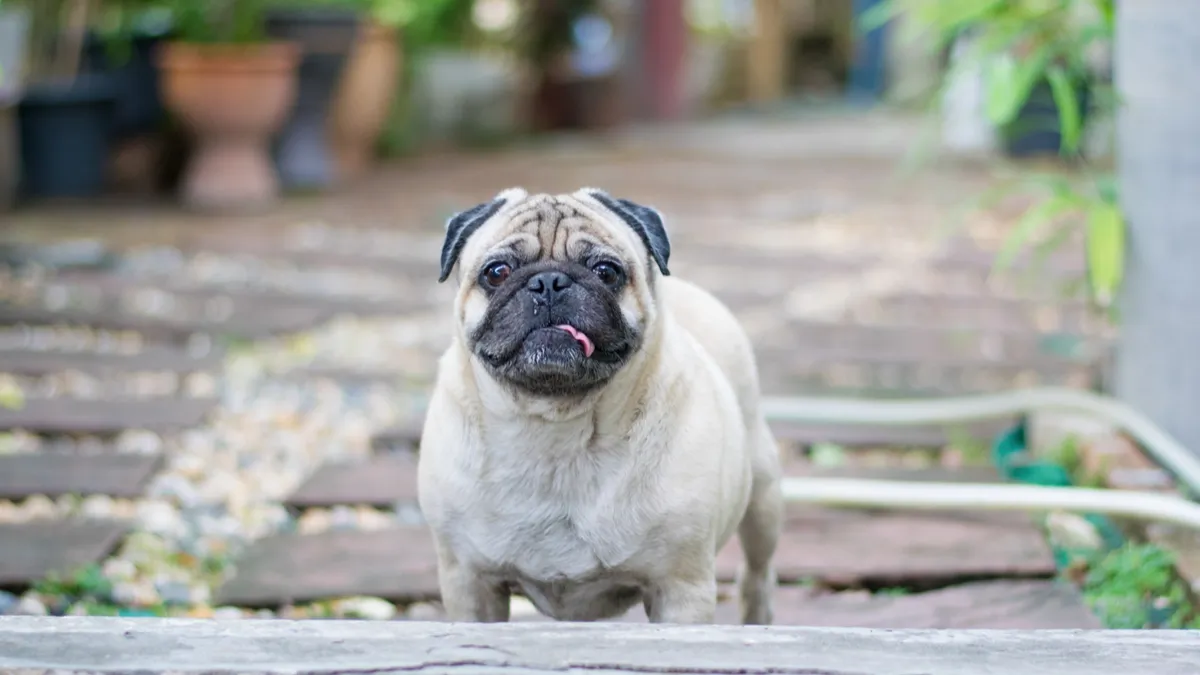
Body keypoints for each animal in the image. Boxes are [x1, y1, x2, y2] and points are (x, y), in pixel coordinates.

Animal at [417, 186, 782, 624]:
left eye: (607, 272)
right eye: (497, 272)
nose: (549, 281)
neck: (555, 433)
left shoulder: (681, 589)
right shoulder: (469, 583)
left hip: (763, 499)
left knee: (758, 573)